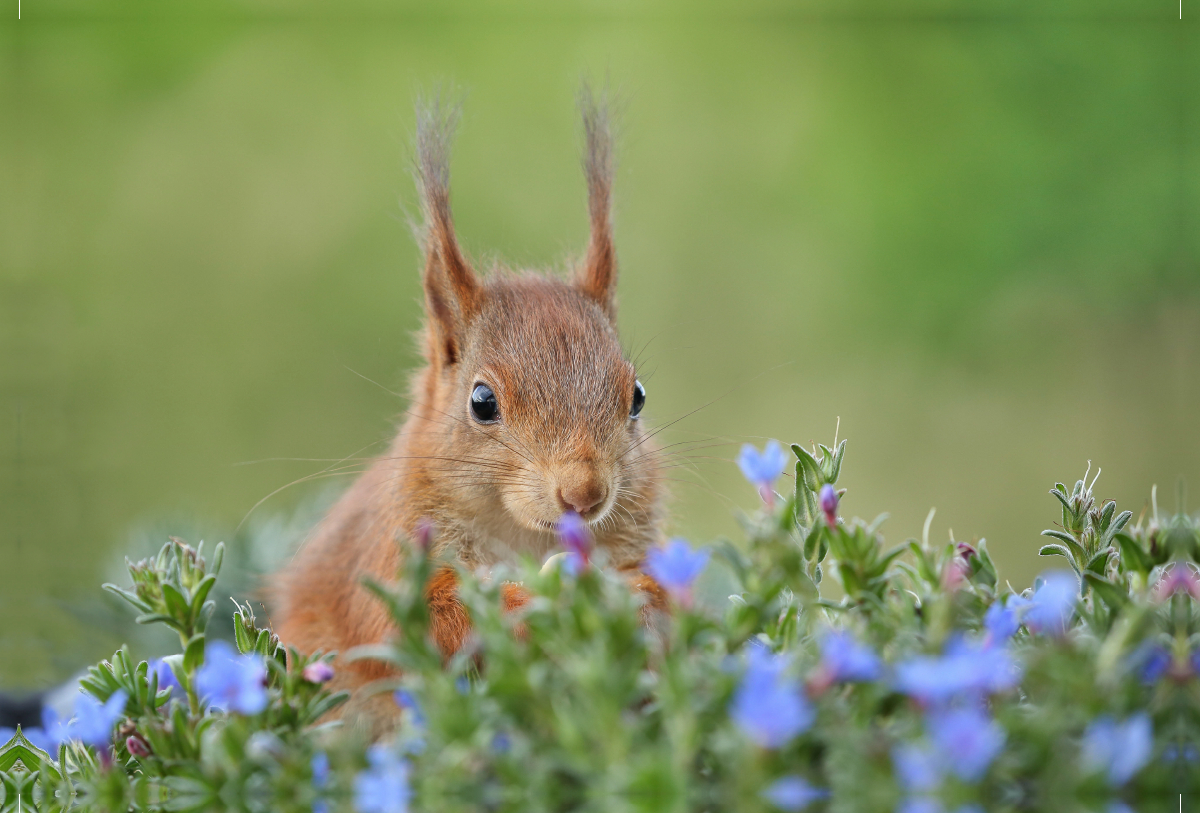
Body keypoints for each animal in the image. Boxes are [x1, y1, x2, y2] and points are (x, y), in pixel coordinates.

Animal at [271, 94, 667, 714]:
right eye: (482, 401)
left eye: (638, 397)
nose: (584, 493)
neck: (522, 535)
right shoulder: (388, 557)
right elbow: (426, 623)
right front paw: (529, 606)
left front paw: (638, 602)